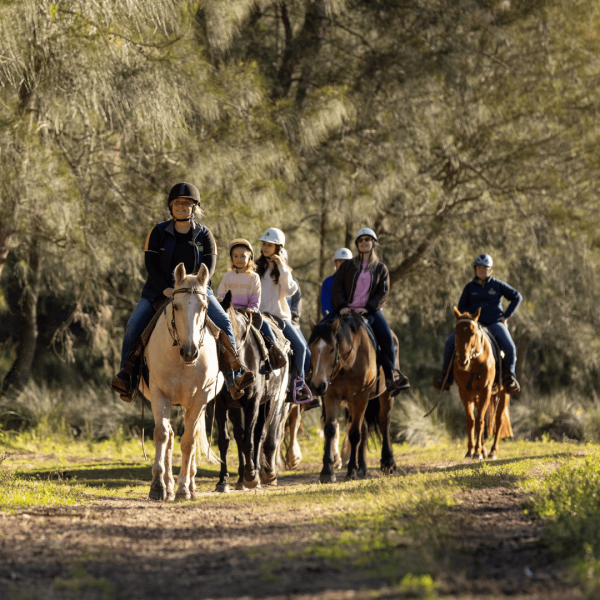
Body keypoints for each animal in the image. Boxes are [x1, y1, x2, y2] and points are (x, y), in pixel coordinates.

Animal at [140, 262, 220, 502]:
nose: (190, 351)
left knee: (189, 437)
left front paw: (184, 488)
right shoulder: (160, 395)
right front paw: (158, 486)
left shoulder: (200, 398)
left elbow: (189, 442)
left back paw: (190, 486)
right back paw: (167, 485)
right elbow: (161, 434)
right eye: (175, 306)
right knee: (169, 436)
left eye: (204, 307)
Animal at [214, 296, 290, 492]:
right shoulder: (221, 404)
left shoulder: (253, 402)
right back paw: (242, 478)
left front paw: (251, 476)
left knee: (258, 435)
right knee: (240, 436)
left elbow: (250, 440)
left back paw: (254, 474)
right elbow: (224, 440)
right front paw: (223, 481)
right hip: (235, 406)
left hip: (269, 402)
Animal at [308, 314, 396, 482]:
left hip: (385, 395)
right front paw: (327, 471)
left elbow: (354, 433)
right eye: (311, 348)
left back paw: (388, 463)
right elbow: (330, 429)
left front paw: (351, 471)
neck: (349, 362)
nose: (317, 385)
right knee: (365, 428)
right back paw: (362, 467)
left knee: (384, 422)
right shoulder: (331, 396)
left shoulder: (361, 396)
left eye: (332, 349)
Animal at [454, 304, 510, 460]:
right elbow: (471, 420)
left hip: (503, 393)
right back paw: (484, 450)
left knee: (498, 421)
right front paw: (470, 451)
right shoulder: (464, 393)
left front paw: (477, 452)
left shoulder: (486, 390)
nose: (462, 361)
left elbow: (479, 420)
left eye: (473, 332)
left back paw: (492, 451)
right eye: (456, 332)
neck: (474, 362)